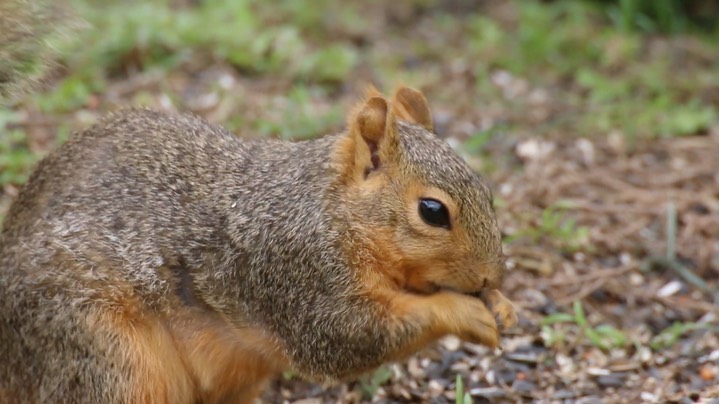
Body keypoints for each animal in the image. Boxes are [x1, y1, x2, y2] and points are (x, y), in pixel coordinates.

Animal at [0, 3, 516, 404]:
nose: (489, 277)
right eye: (433, 211)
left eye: (488, 191)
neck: (335, 213)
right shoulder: (298, 278)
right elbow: (349, 336)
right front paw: (465, 313)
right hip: (101, 349)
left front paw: (504, 307)